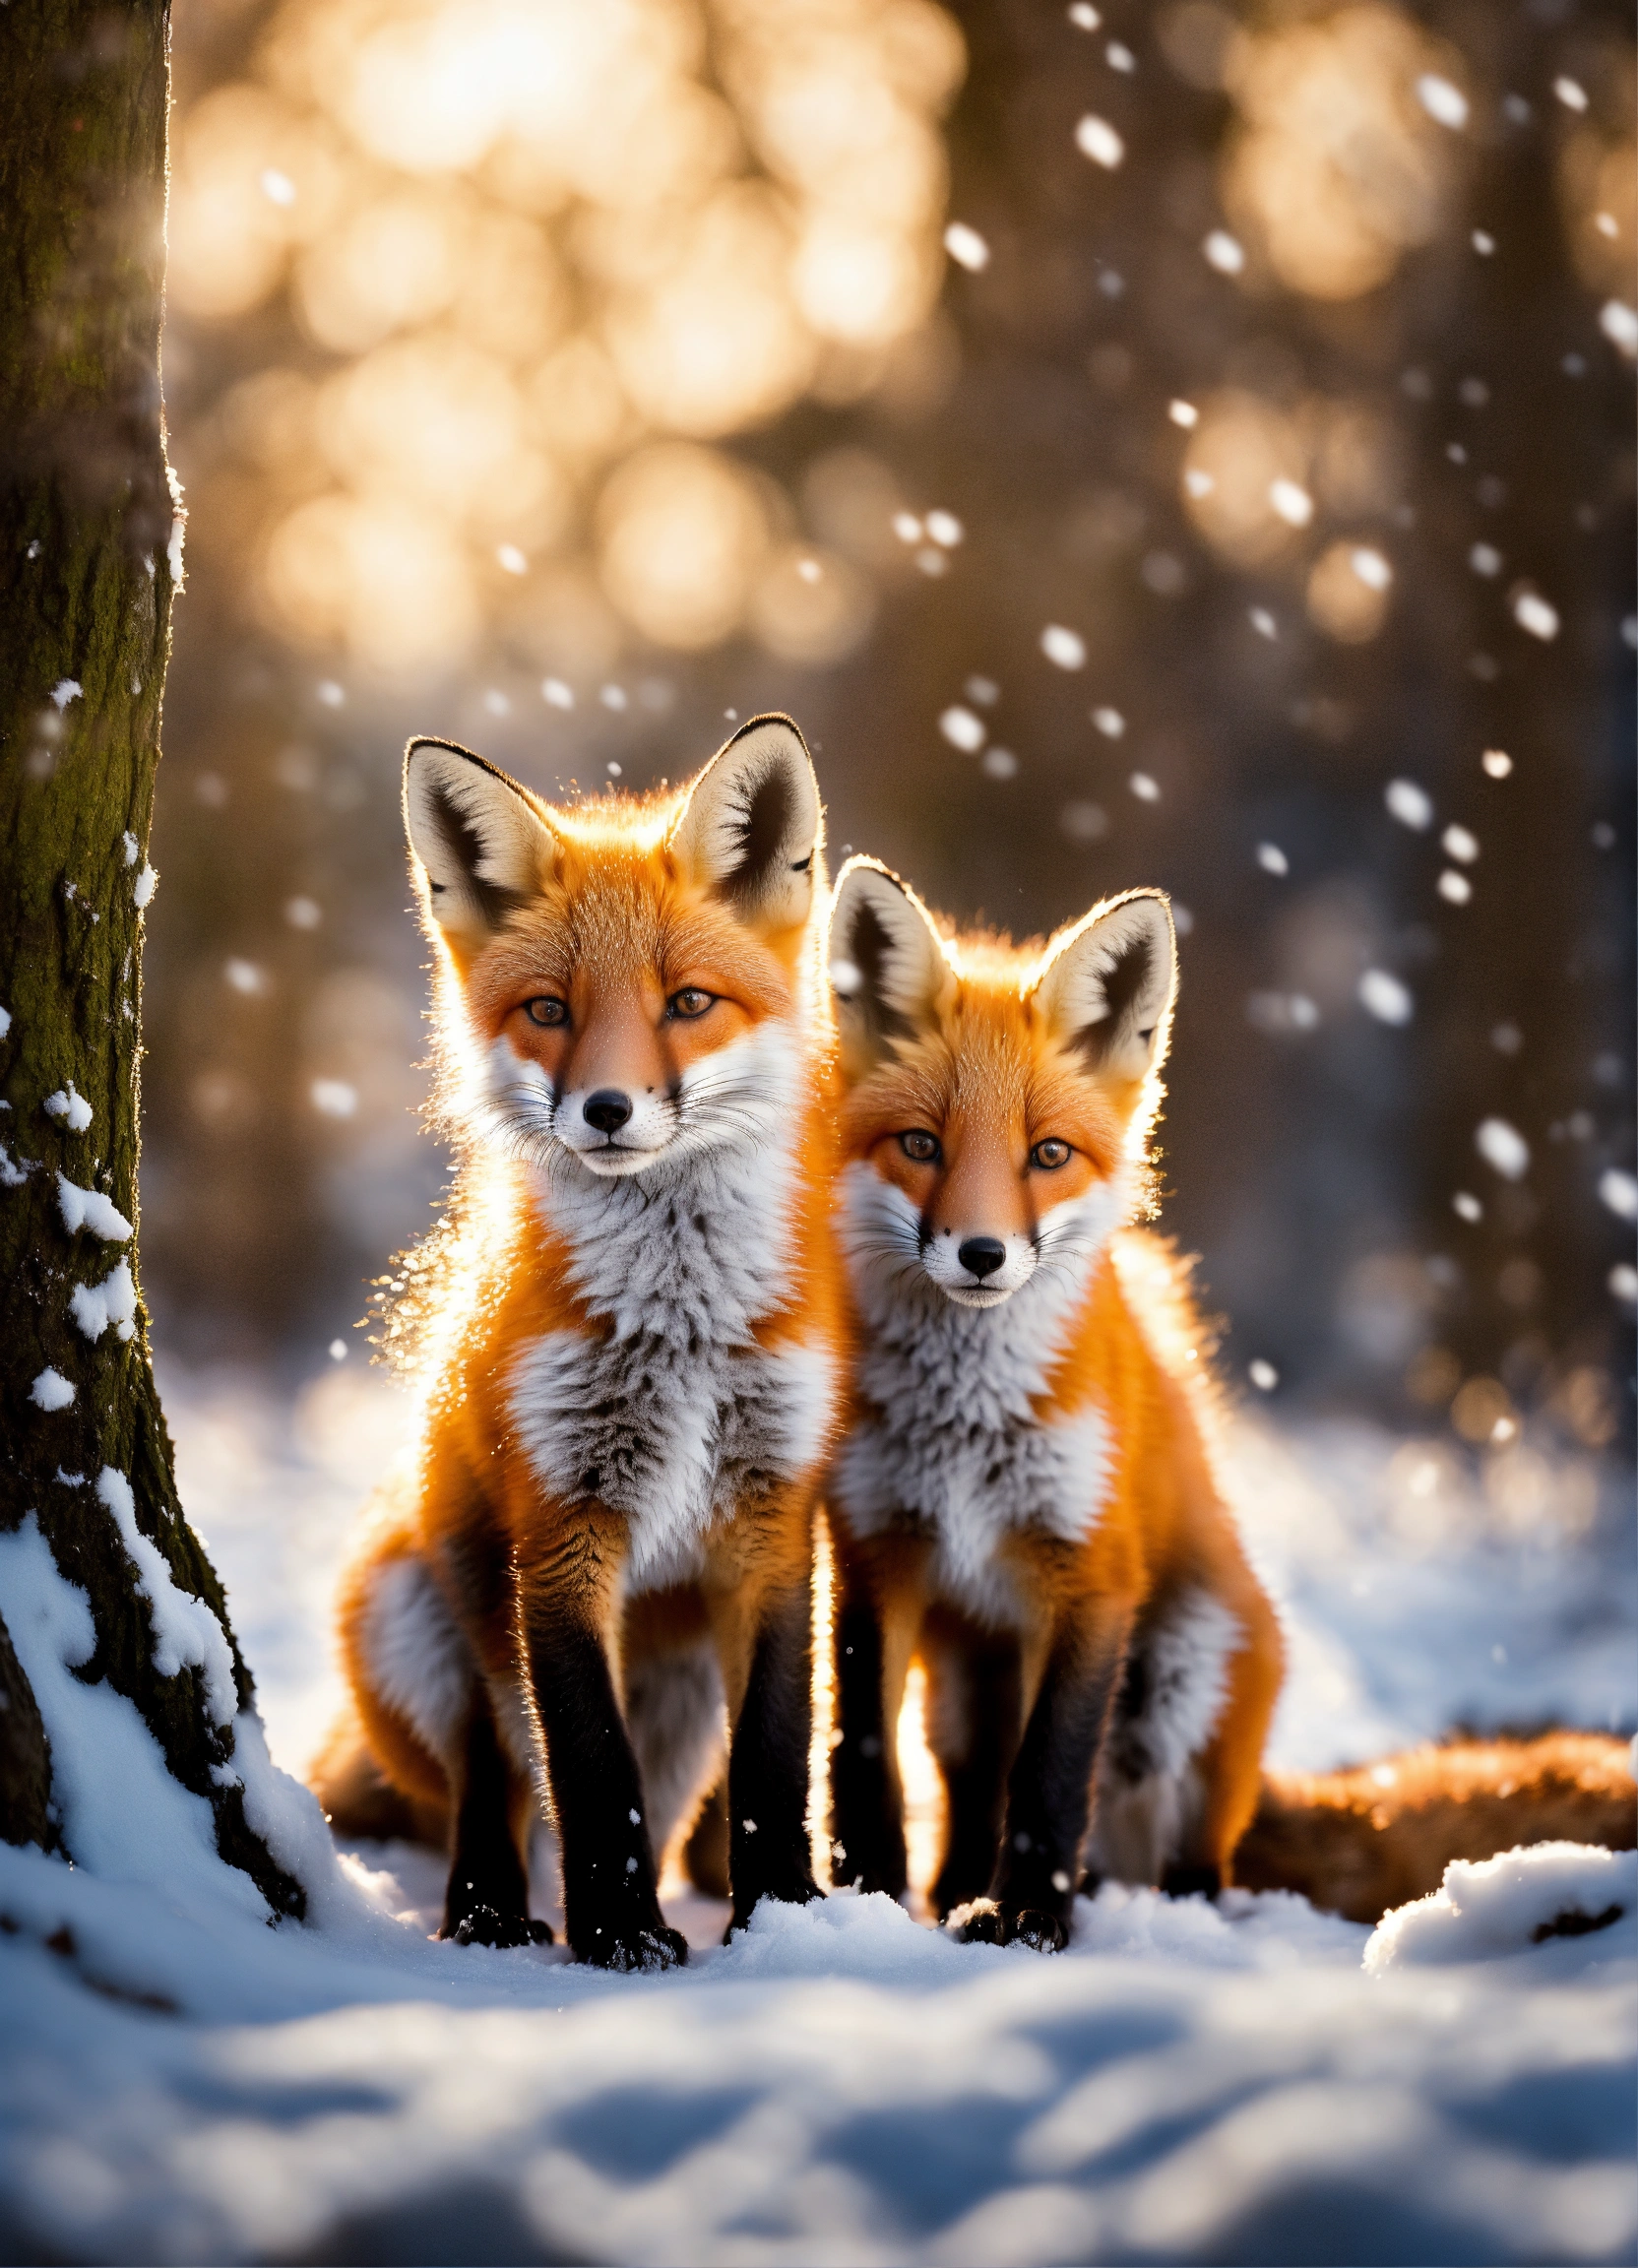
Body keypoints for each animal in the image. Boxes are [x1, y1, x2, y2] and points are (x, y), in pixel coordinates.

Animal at [310, 715, 840, 1968]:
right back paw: (490, 1914)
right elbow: (589, 1768)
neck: (679, 1324)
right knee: (492, 1777)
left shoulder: (770, 1520)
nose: (605, 1110)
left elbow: (775, 1754)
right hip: (422, 1614)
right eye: (548, 1011)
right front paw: (617, 1938)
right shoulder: (557, 1527)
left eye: (687, 1002)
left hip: (680, 1692)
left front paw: (783, 1922)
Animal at [822, 858, 1284, 1950]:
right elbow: (863, 1756)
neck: (964, 1427)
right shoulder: (874, 1556)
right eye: (920, 1145)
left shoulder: (1090, 1576)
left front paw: (1030, 1916)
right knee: (964, 1794)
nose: (982, 1254)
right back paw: (952, 1896)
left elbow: (1051, 1777)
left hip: (1182, 1678)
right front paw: (867, 1904)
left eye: (1047, 1155)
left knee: (1189, 1861)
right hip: (964, 1687)